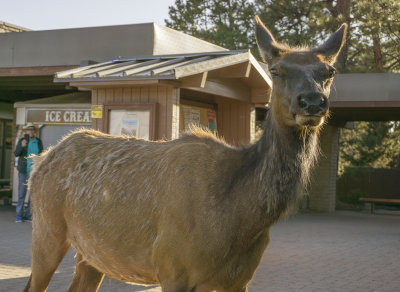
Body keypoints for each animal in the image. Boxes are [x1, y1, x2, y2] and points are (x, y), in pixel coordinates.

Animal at [24, 16, 346, 292]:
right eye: (276, 70)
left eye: (329, 72)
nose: (312, 101)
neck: (238, 218)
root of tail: (41, 160)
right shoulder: (172, 267)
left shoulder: (240, 279)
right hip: (46, 229)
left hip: (92, 254)